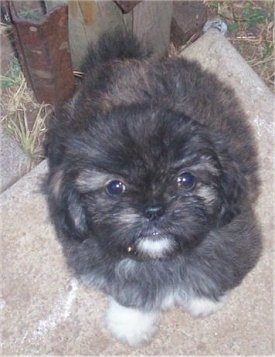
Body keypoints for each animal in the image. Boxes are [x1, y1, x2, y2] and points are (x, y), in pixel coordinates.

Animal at [45, 32, 264, 344]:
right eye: (115, 187)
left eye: (186, 180)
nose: (153, 209)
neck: (162, 258)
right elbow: (130, 290)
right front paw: (130, 322)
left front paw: (203, 299)